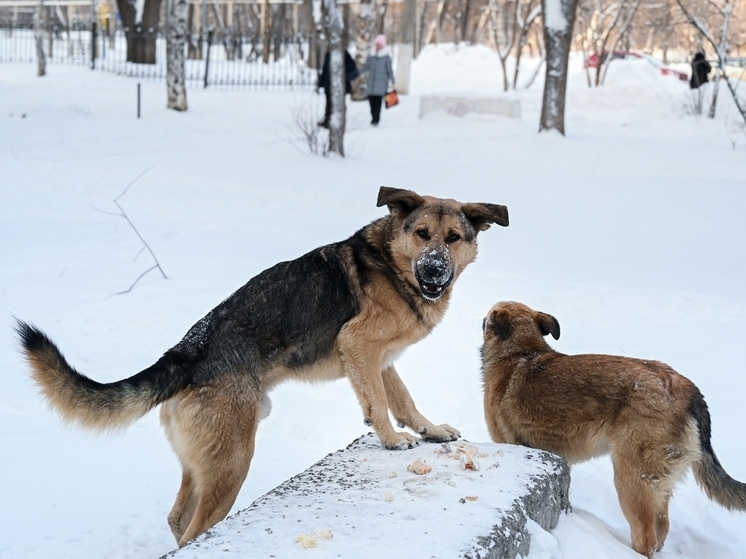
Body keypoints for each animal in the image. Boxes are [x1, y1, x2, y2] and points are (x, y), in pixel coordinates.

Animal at [17, 187, 508, 548]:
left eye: (453, 238)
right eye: (422, 234)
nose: (434, 271)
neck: (393, 263)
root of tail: (186, 353)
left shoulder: (377, 359)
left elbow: (402, 398)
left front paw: (429, 429)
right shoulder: (359, 346)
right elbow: (378, 404)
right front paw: (390, 439)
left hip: (208, 461)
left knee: (178, 519)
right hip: (234, 460)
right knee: (193, 530)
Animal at [480, 304, 740, 556]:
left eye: (488, 317)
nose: (482, 320)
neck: (520, 352)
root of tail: (688, 390)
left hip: (631, 479)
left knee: (646, 537)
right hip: (657, 484)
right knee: (662, 528)